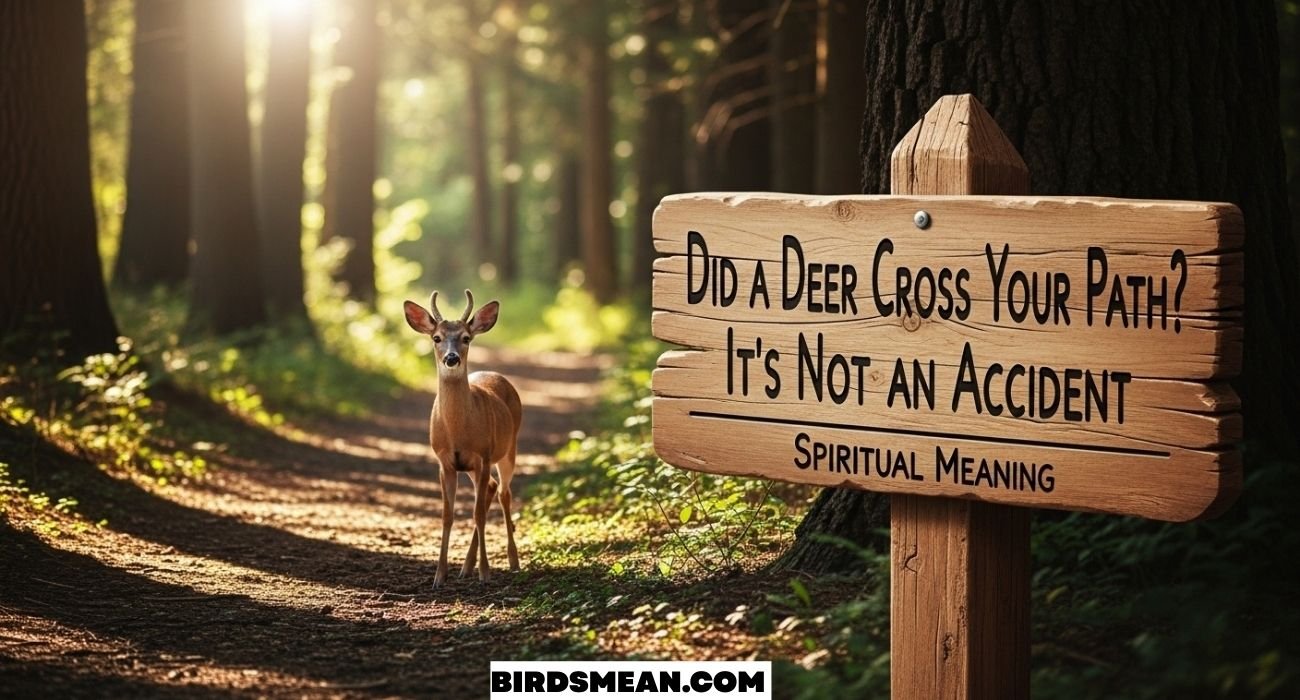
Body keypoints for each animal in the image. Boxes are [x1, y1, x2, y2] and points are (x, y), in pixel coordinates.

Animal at [403, 289, 522, 586]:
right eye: (436, 338)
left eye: (466, 337)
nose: (452, 358)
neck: (457, 431)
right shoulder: (444, 461)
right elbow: (447, 515)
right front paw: (439, 575)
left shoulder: (484, 455)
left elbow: (478, 514)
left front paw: (485, 573)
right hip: (472, 466)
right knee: (491, 487)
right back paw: (465, 568)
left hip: (508, 449)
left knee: (503, 492)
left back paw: (513, 562)